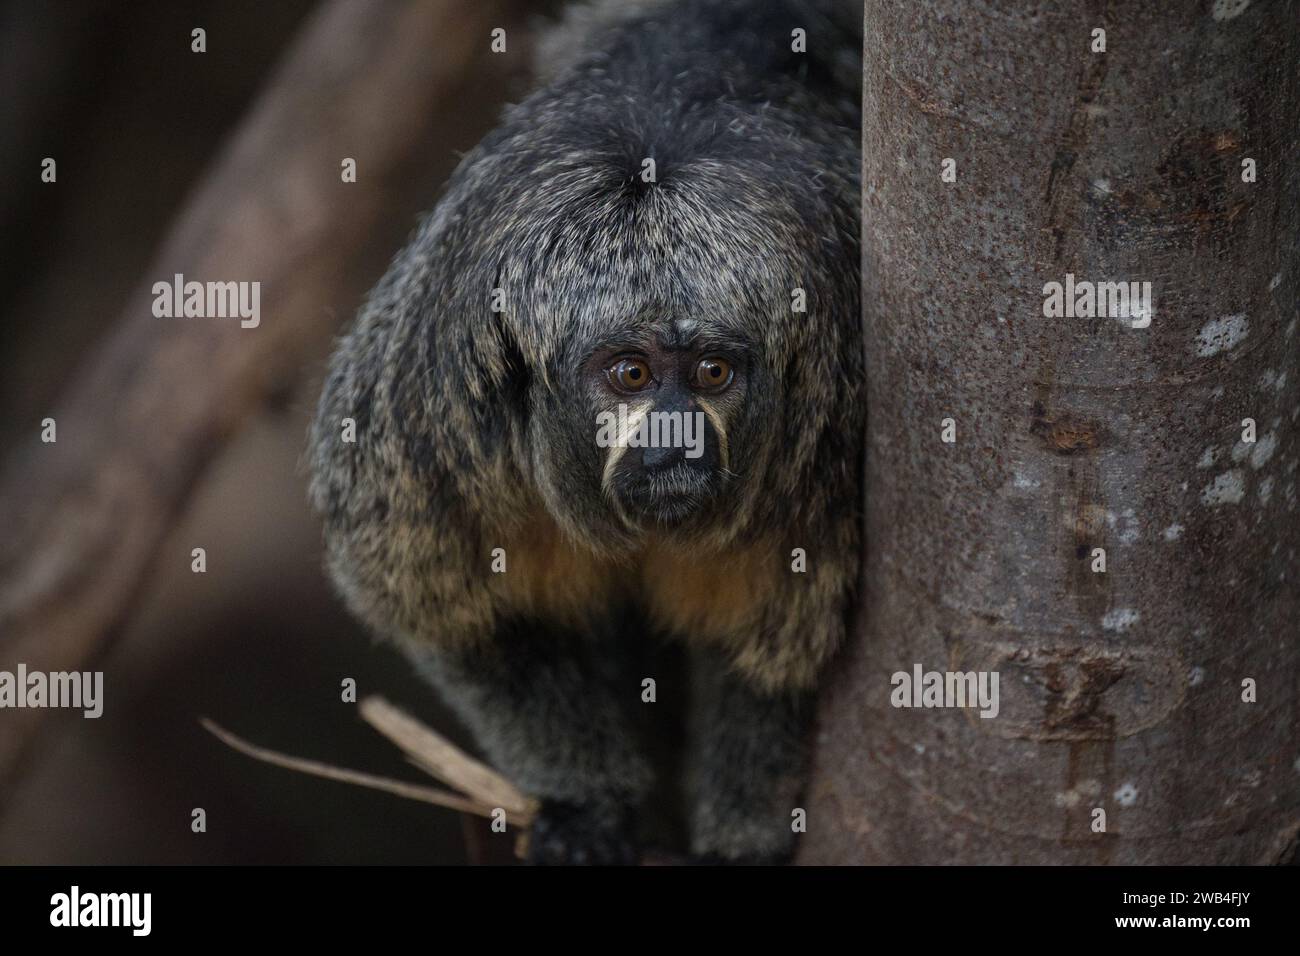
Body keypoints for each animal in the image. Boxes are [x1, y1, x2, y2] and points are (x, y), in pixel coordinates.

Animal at [308, 0, 863, 864]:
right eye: (629, 374)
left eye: (713, 373)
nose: (677, 438)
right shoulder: (425, 418)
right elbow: (455, 616)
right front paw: (588, 804)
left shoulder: (826, 435)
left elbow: (771, 657)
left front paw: (742, 839)